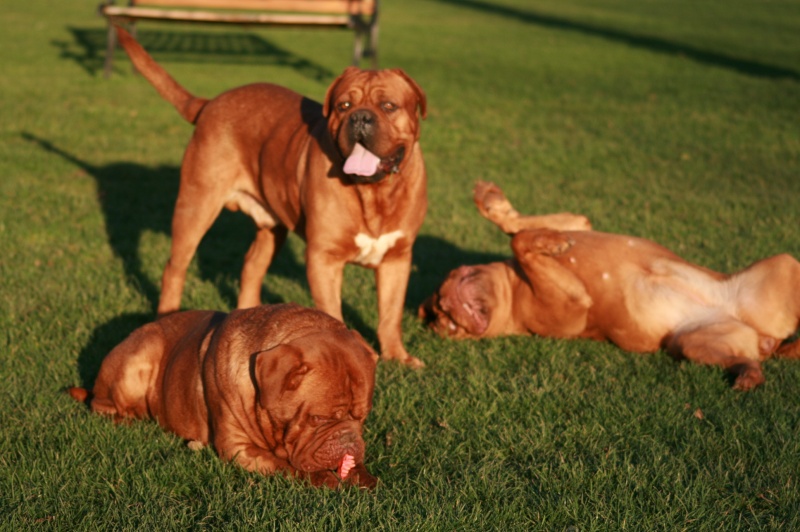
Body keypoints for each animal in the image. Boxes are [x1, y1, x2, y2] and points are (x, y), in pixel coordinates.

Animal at [69, 304, 378, 490]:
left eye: (363, 418)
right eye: (318, 418)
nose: (349, 440)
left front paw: (364, 476)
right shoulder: (239, 448)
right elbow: (283, 465)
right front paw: (323, 478)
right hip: (140, 354)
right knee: (104, 405)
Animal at [115, 28, 428, 366]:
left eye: (389, 106)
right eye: (343, 105)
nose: (360, 118)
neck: (374, 192)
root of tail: (211, 103)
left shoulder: (398, 259)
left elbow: (390, 313)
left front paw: (398, 356)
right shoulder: (324, 259)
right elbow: (333, 311)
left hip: (271, 227)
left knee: (252, 266)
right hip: (195, 205)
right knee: (175, 268)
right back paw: (168, 316)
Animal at [418, 181, 800, 388]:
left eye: (440, 309)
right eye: (447, 324)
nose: (446, 307)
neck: (514, 289)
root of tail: (763, 337)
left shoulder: (577, 224)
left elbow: (517, 229)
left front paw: (493, 203)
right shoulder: (572, 301)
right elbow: (521, 242)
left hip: (783, 267)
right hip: (693, 343)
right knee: (744, 359)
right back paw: (749, 372)